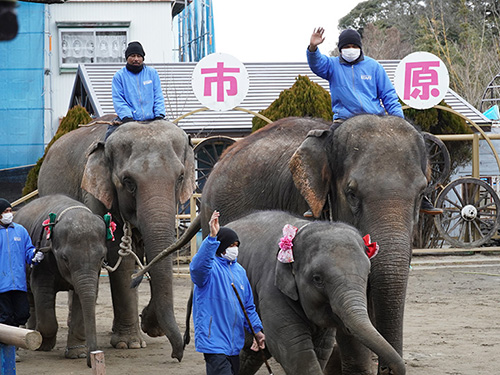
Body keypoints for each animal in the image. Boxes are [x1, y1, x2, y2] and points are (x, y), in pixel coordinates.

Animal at [13, 194, 107, 368]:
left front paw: (77, 354)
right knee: (30, 296)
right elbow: (42, 292)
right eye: (65, 258)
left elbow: (82, 297)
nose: (94, 359)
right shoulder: (43, 260)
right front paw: (43, 344)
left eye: (102, 257)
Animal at [37, 119, 196, 362]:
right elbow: (118, 256)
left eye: (180, 178)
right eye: (128, 182)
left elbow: (156, 252)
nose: (177, 355)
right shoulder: (96, 195)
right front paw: (129, 344)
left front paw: (150, 327)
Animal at [228, 212, 406, 375]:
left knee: (254, 353)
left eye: (368, 273)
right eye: (317, 279)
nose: (386, 369)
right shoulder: (272, 289)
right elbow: (292, 347)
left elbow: (322, 347)